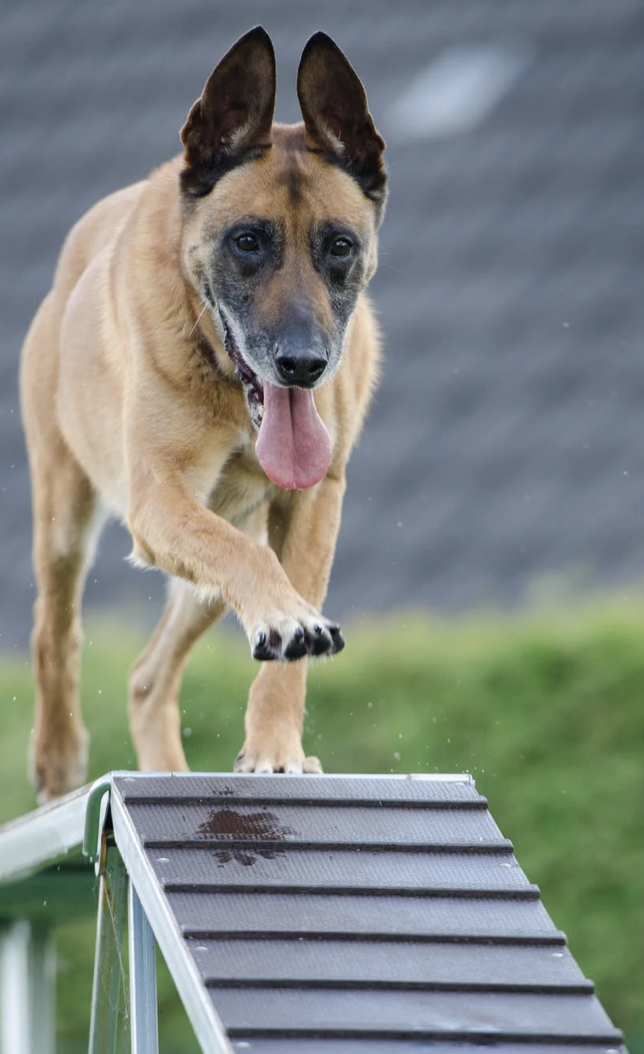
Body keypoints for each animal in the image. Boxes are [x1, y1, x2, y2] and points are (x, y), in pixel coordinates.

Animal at [20, 26, 385, 796]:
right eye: (247, 241)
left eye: (339, 246)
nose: (302, 364)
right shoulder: (158, 497)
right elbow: (255, 570)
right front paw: (287, 622)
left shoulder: (313, 505)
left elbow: (287, 647)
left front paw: (275, 748)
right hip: (66, 518)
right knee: (54, 629)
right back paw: (59, 758)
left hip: (210, 573)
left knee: (146, 677)